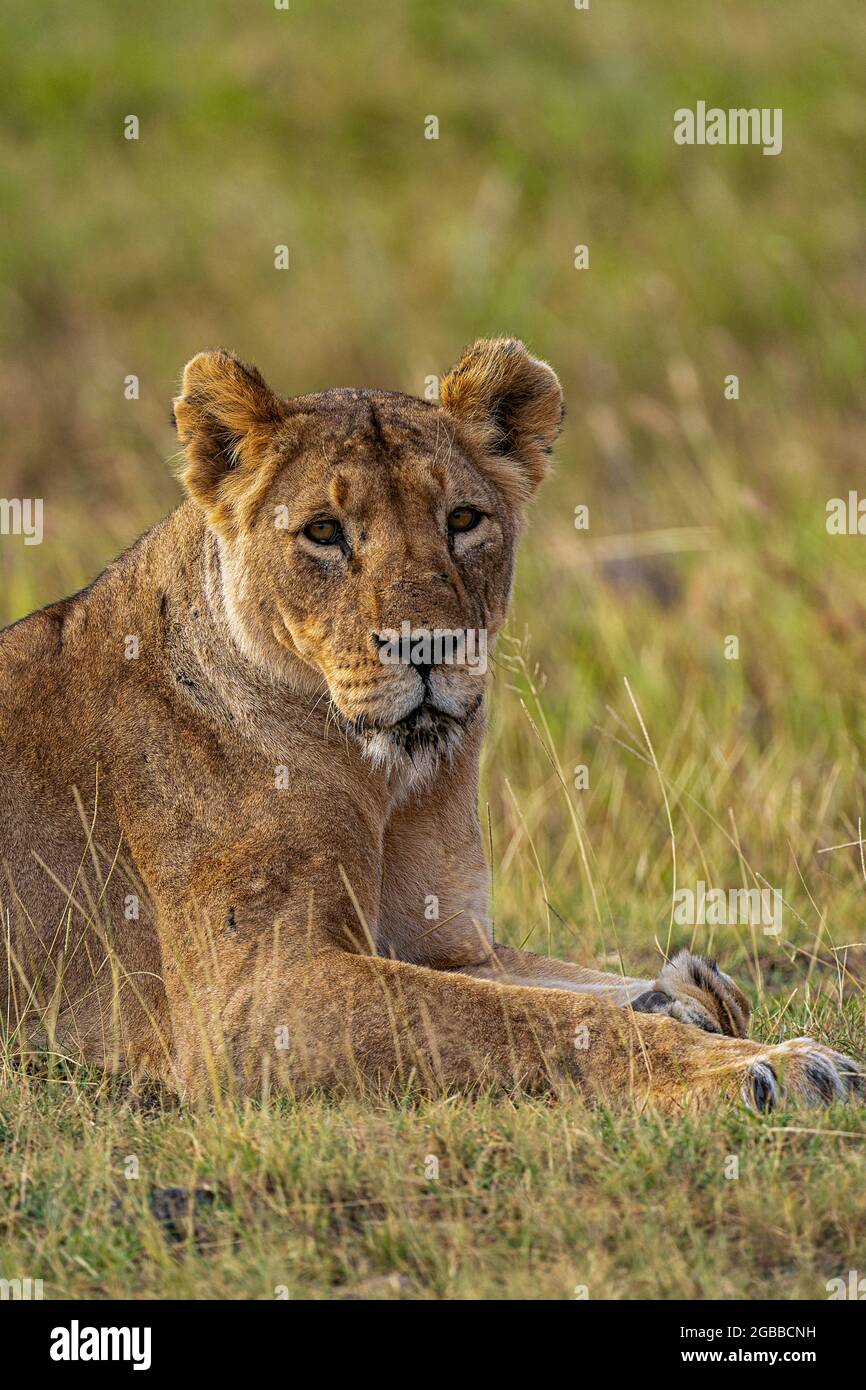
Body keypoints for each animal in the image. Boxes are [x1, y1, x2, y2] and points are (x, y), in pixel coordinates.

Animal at [0, 337, 861, 1110]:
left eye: (465, 519)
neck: (390, 781)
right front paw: (759, 1063)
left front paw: (690, 995)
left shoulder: (444, 942)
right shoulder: (252, 1003)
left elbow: (555, 982)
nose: (428, 646)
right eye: (323, 531)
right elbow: (538, 1019)